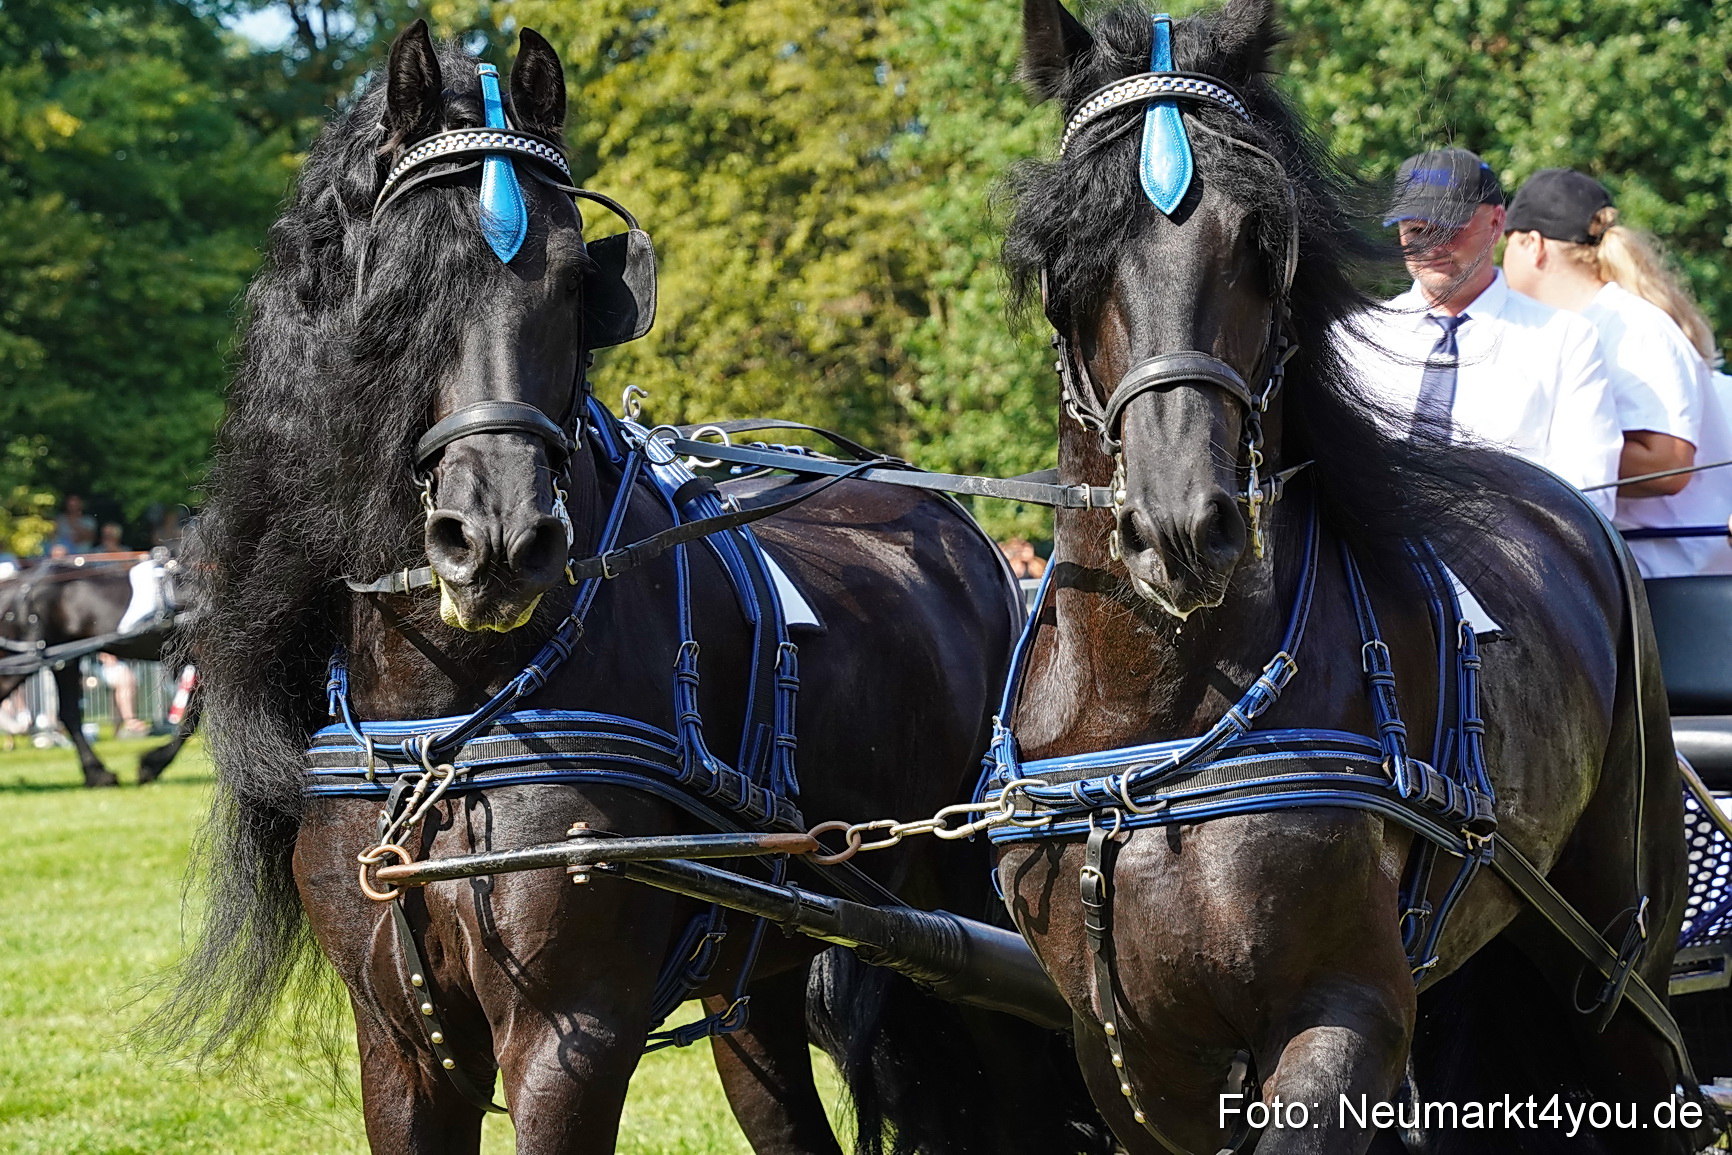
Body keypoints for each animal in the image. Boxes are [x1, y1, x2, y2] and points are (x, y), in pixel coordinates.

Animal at [0, 556, 196, 786]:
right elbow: (192, 717)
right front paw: (153, 764)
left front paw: (153, 764)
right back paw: (98, 773)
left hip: (64, 661)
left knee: (69, 713)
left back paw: (95, 772)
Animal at [151, 23, 1106, 1155]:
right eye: (403, 280)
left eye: (574, 279)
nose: (502, 537)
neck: (448, 724)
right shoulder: (399, 1040)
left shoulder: (572, 1029)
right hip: (757, 970)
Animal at [985, 1, 1702, 1151]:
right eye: (1071, 251)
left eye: (1259, 241)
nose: (1182, 524)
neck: (1155, 722)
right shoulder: (1125, 1052)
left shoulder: (1346, 1013)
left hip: (1617, 959)